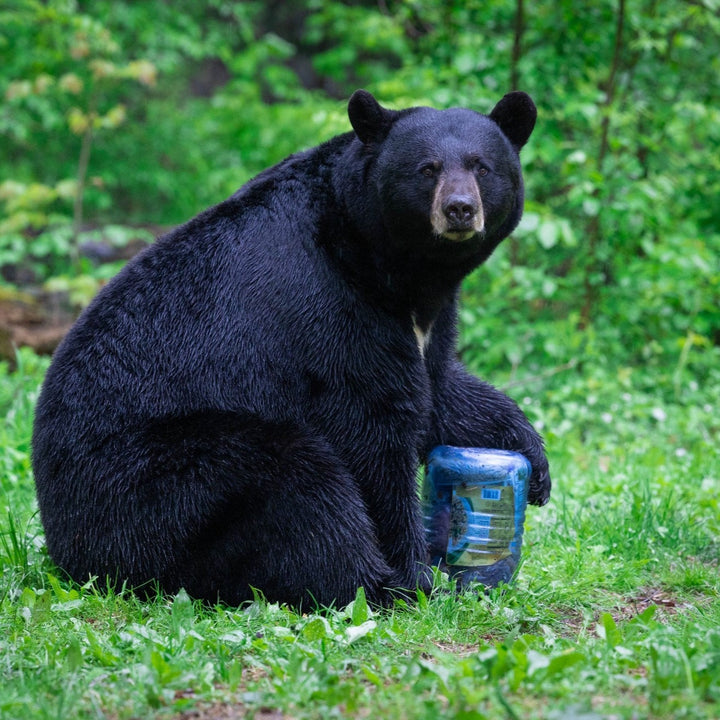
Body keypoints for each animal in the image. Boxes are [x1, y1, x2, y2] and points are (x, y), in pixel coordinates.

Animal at [32, 89, 550, 609]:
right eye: (427, 168)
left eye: (482, 166)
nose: (460, 209)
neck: (393, 266)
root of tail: (67, 545)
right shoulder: (332, 306)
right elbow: (373, 427)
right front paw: (416, 574)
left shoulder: (426, 318)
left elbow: (439, 387)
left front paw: (532, 461)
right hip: (153, 484)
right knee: (297, 481)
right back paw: (375, 583)